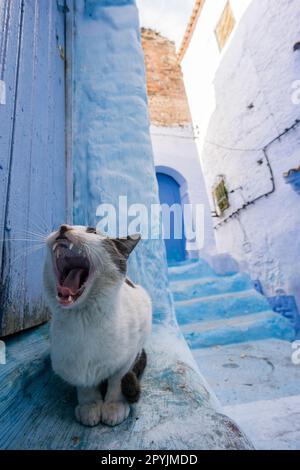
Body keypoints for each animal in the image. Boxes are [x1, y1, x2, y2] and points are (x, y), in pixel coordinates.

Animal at [44, 226, 152, 428]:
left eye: (92, 231)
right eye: (59, 226)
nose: (63, 227)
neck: (82, 322)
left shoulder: (130, 353)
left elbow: (117, 380)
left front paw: (113, 406)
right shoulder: (71, 365)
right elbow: (85, 385)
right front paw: (90, 404)